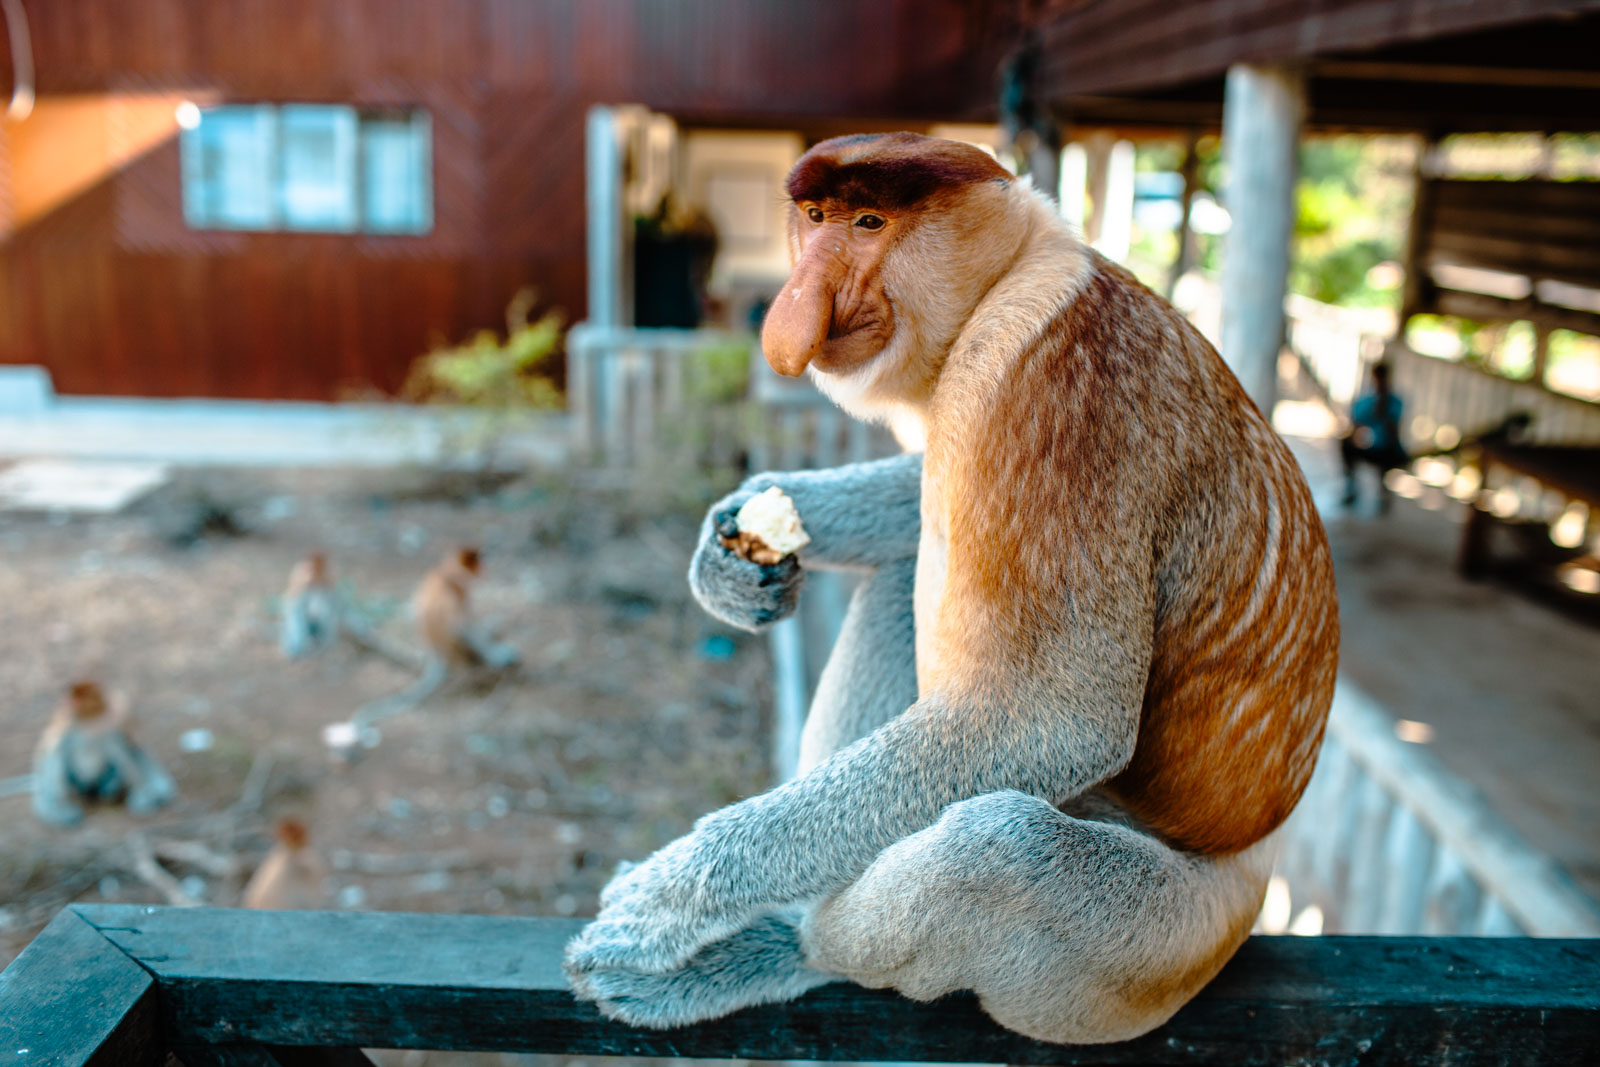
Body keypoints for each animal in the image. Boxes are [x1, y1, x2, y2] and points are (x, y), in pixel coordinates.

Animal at [32, 681, 179, 827]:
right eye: (67, 698)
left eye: (73, 700)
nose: (63, 704)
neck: (91, 718)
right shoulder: (64, 722)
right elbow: (50, 749)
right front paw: (55, 811)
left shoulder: (120, 712)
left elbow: (132, 747)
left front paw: (149, 794)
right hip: (75, 782)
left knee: (117, 748)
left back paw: (112, 790)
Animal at [565, 133, 1339, 1045]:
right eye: (816, 218)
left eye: (870, 223)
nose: (793, 307)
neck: (1015, 269)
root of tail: (1260, 865)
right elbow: (925, 489)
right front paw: (732, 546)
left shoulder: (1047, 379)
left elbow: (1049, 720)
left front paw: (663, 897)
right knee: (907, 573)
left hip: (1157, 950)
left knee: (999, 849)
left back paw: (785, 943)